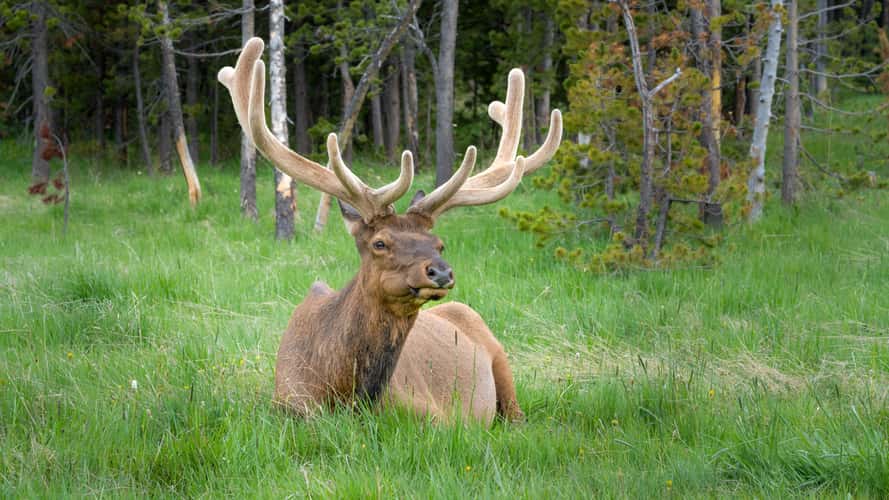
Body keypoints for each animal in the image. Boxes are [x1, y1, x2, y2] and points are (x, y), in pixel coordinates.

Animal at [218, 38, 562, 425]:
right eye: (380, 242)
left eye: (439, 243)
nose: (440, 272)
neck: (342, 392)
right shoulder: (288, 405)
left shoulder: (432, 412)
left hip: (501, 359)